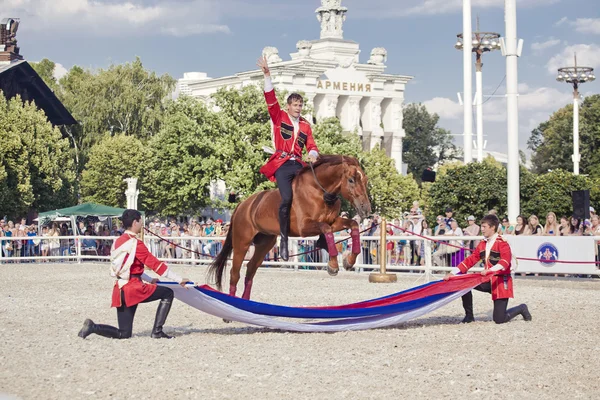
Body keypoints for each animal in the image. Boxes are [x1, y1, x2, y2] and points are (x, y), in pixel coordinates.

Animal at [210, 155, 370, 298]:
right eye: (351, 180)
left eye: (365, 180)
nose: (366, 208)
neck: (319, 192)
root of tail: (242, 205)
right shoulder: (303, 228)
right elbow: (326, 229)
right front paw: (333, 264)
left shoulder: (333, 221)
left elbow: (353, 225)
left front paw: (349, 260)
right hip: (241, 243)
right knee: (234, 273)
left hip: (264, 244)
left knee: (250, 269)